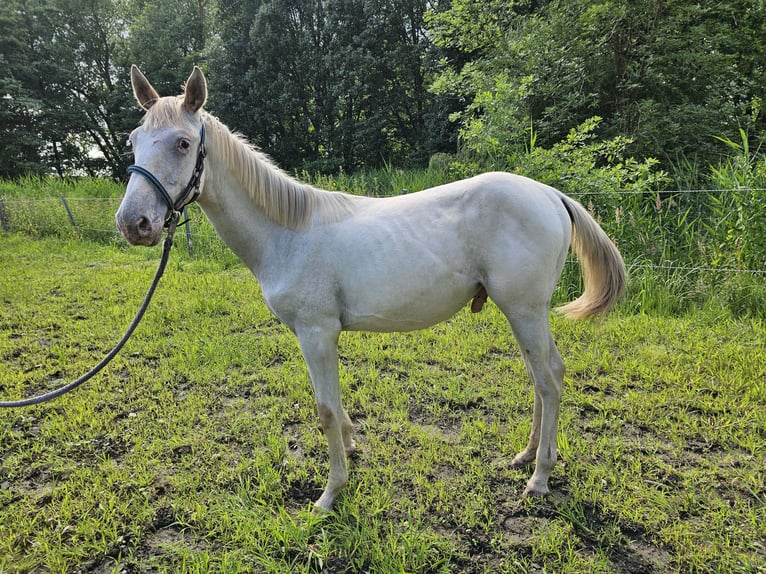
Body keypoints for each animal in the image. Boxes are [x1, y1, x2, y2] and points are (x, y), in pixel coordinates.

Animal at [117, 66, 628, 512]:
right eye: (133, 143)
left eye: (183, 143)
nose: (133, 223)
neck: (287, 232)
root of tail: (550, 194)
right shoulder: (319, 337)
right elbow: (337, 408)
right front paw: (351, 446)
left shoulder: (316, 334)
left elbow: (324, 410)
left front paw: (330, 494)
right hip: (522, 313)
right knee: (541, 377)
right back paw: (524, 457)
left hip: (524, 309)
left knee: (548, 380)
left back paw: (539, 477)